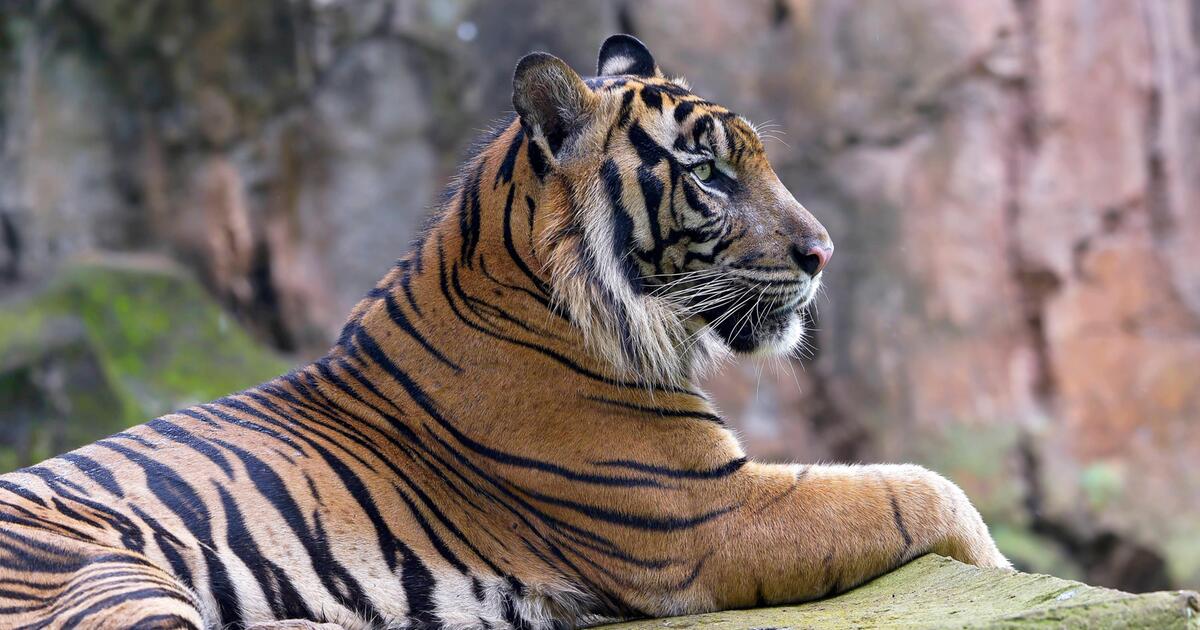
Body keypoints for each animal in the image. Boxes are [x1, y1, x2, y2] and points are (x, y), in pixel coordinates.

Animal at [0, 35, 1009, 629]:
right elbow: (920, 491)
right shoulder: (705, 514)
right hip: (103, 573)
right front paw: (994, 557)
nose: (824, 252)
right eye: (710, 174)